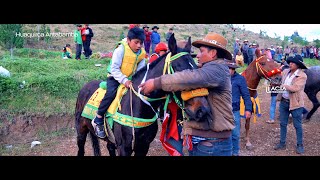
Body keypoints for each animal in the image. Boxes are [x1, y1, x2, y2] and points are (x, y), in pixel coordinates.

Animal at [74, 34, 210, 156]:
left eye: (197, 68)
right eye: (179, 72)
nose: (202, 109)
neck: (138, 106)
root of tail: (85, 87)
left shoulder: (143, 146)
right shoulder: (124, 148)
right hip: (81, 129)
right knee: (81, 148)